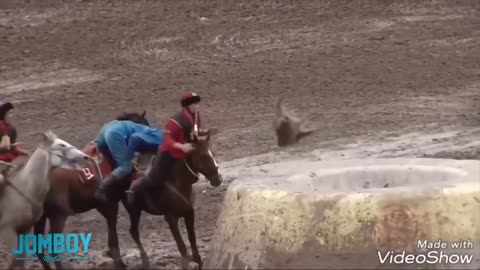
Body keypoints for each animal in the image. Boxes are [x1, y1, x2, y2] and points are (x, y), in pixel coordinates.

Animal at [0, 130, 89, 268]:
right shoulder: (7, 231)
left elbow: (19, 260)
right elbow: (15, 260)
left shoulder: (24, 230)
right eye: (61, 145)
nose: (85, 156)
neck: (24, 188)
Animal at [33, 110, 152, 268]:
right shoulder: (117, 202)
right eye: (145, 124)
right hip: (58, 216)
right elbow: (124, 230)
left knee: (38, 247)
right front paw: (123, 259)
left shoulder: (106, 205)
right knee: (51, 247)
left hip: (41, 218)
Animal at [123, 129, 222, 270]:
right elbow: (182, 247)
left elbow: (192, 241)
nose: (218, 179)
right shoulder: (171, 219)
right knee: (133, 231)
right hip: (134, 211)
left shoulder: (189, 214)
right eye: (202, 156)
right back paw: (144, 260)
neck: (178, 184)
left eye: (213, 153)